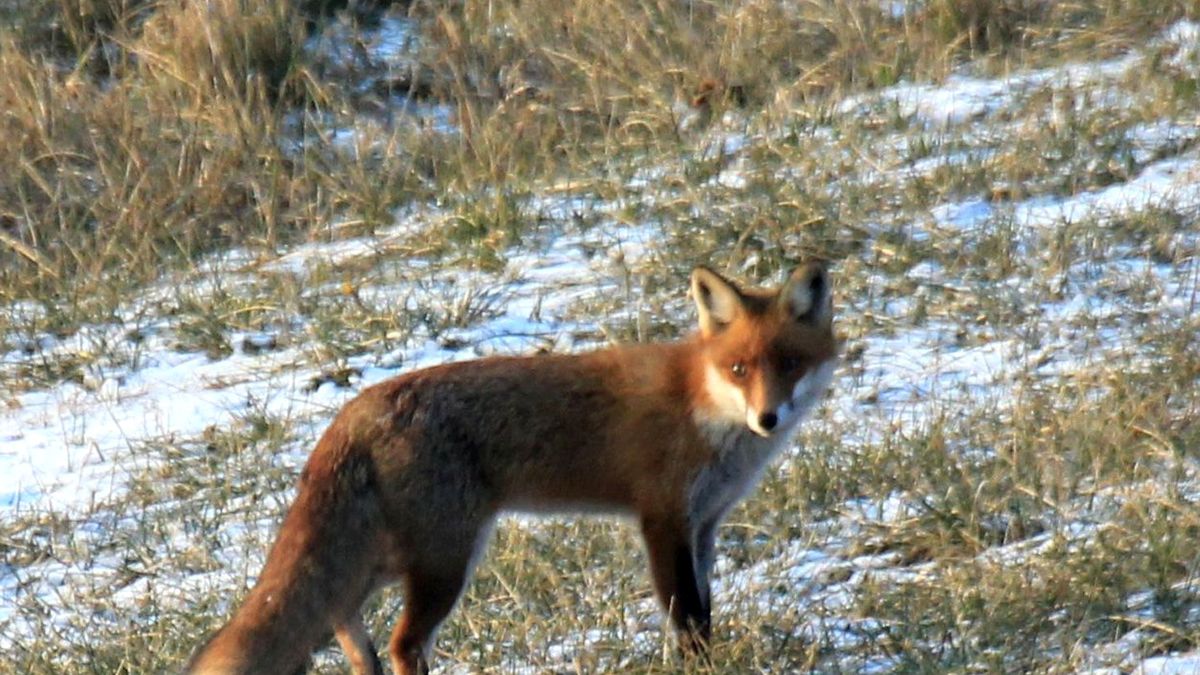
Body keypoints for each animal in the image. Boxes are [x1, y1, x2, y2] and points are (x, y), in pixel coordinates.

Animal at [187, 263, 840, 672]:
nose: (768, 418)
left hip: (391, 560)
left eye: (788, 364)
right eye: (739, 369)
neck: (701, 404)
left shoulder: (703, 524)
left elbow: (706, 611)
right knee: (401, 645)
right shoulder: (661, 519)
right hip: (447, 559)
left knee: (346, 626)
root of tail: (353, 410)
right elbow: (689, 620)